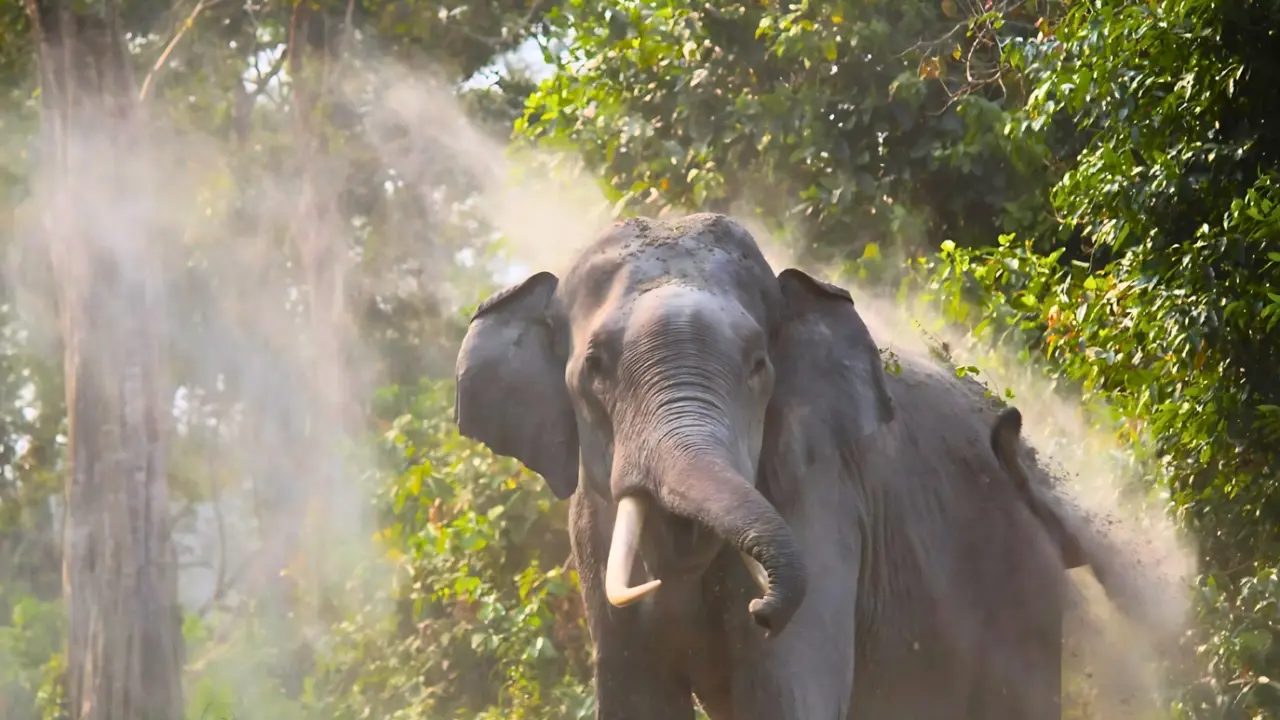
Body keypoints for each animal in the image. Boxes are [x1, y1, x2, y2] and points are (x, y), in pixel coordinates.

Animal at [453, 212, 1129, 719]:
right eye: (594, 368)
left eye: (758, 364)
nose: (763, 609)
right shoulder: (590, 532)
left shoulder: (821, 501)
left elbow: (787, 695)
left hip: (1022, 595)